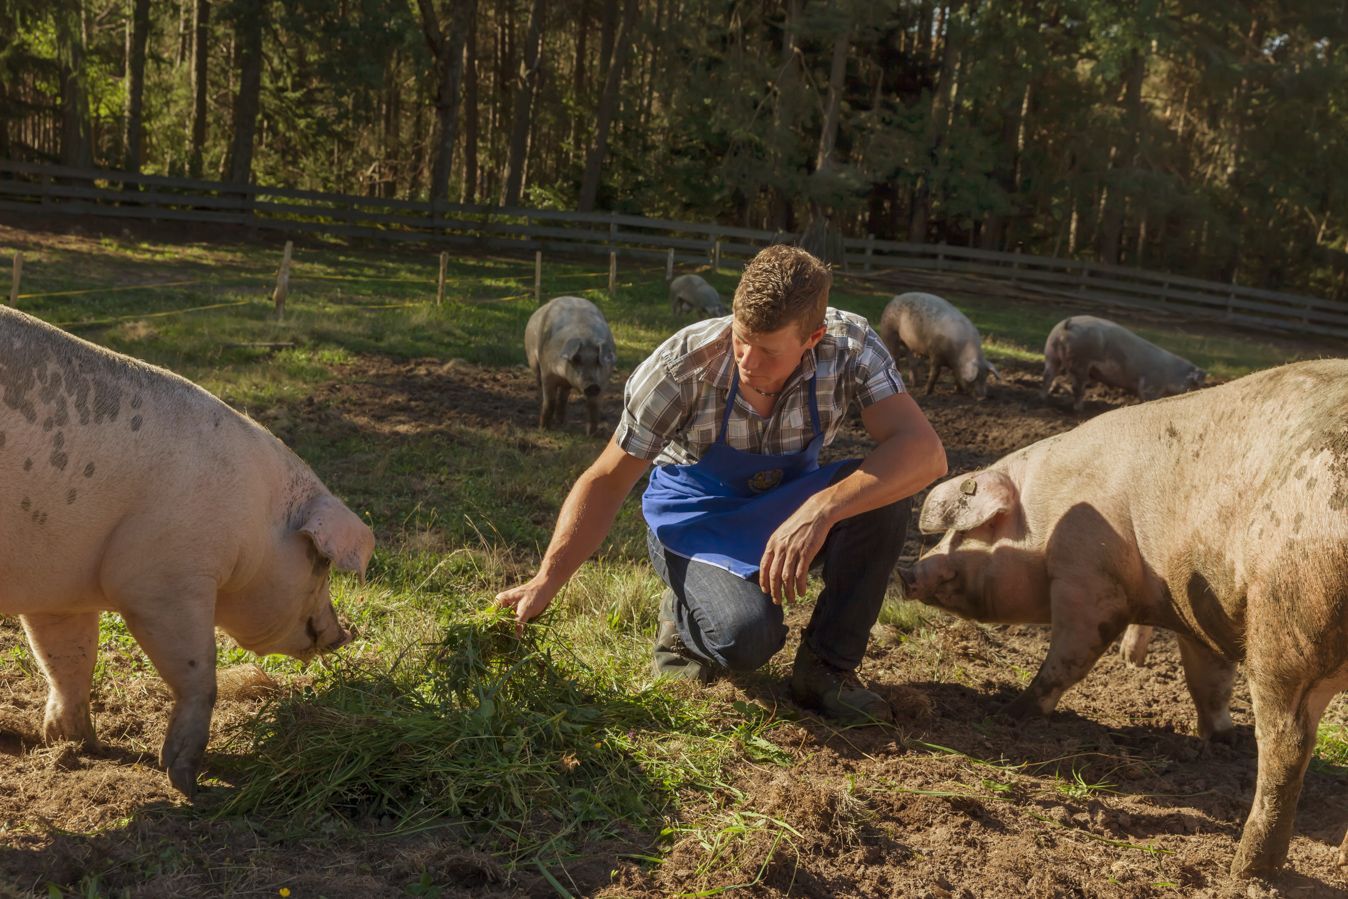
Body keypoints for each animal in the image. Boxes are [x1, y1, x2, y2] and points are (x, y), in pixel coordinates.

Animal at [0, 307, 374, 792]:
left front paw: (78, 746)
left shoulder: (60, 589)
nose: (343, 634)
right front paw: (185, 778)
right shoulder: (162, 579)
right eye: (320, 562)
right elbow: (199, 671)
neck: (257, 518)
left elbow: (68, 658)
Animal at [873, 293, 1002, 398]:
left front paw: (958, 391)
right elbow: (935, 373)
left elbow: (956, 375)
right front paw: (926, 393)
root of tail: (894, 299)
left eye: (985, 377)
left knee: (911, 360)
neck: (959, 353)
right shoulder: (936, 354)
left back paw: (914, 384)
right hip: (889, 332)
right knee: (895, 356)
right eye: (975, 378)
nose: (982, 397)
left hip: (909, 343)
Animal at [895, 358, 1348, 878]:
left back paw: (1245, 871)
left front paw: (1014, 711)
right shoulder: (1198, 617)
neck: (1044, 515)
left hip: (1289, 620)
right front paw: (1219, 740)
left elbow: (1069, 659)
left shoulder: (1088, 582)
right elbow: (1208, 683)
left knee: (1286, 745)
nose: (906, 574)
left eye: (970, 532)